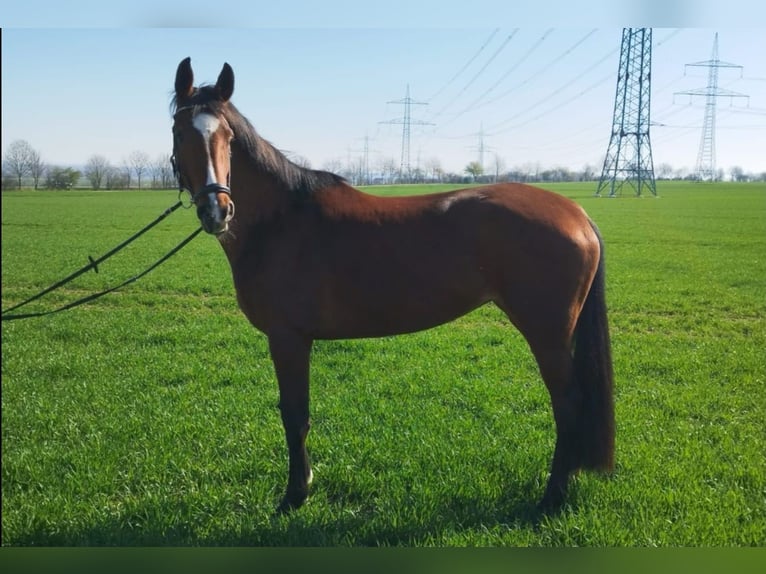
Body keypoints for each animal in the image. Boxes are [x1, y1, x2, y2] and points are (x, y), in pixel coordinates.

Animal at [170, 57, 615, 514]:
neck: (281, 220)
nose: (217, 210)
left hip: (547, 334)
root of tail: (577, 213)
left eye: (227, 137)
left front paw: (295, 495)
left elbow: (295, 416)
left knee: (568, 403)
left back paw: (552, 498)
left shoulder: (288, 338)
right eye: (179, 131)